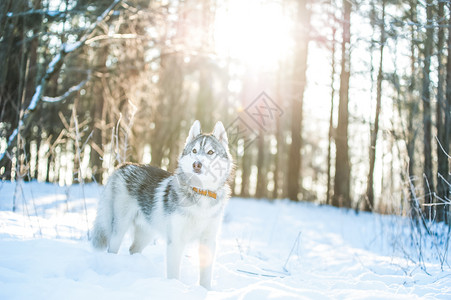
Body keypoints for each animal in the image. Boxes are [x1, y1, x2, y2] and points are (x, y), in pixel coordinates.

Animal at [92, 119, 233, 288]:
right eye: (194, 151)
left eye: (210, 152)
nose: (196, 164)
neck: (200, 193)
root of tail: (124, 165)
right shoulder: (176, 241)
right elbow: (173, 273)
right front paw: (173, 287)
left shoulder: (208, 241)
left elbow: (206, 276)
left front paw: (205, 290)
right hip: (119, 228)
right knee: (112, 248)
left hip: (147, 232)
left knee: (133, 249)